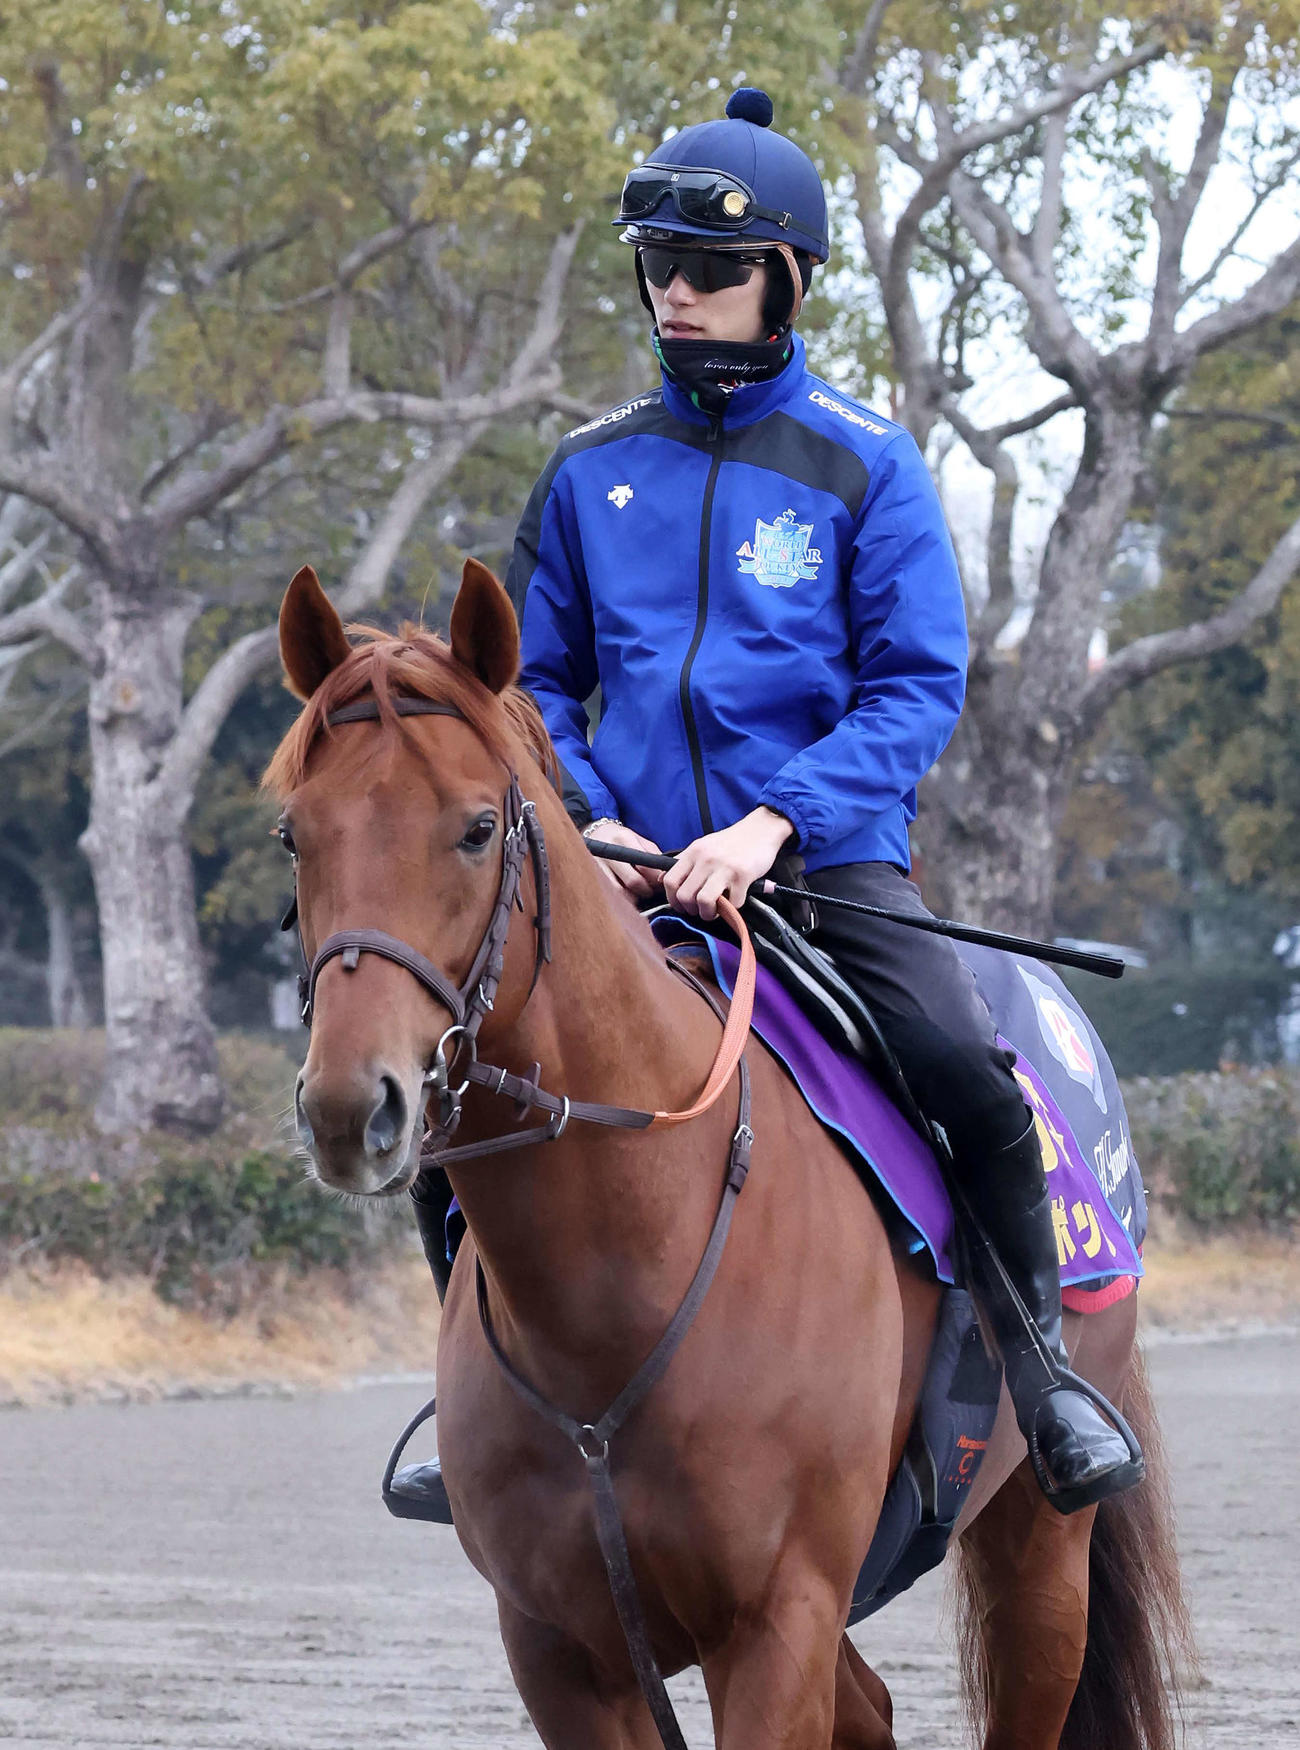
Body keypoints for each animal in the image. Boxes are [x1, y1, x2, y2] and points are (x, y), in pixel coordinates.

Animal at [265, 556, 1192, 1750]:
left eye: (475, 828)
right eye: (297, 834)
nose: (351, 1104)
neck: (622, 1273)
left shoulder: (774, 1622)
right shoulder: (560, 1650)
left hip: (1038, 1544)